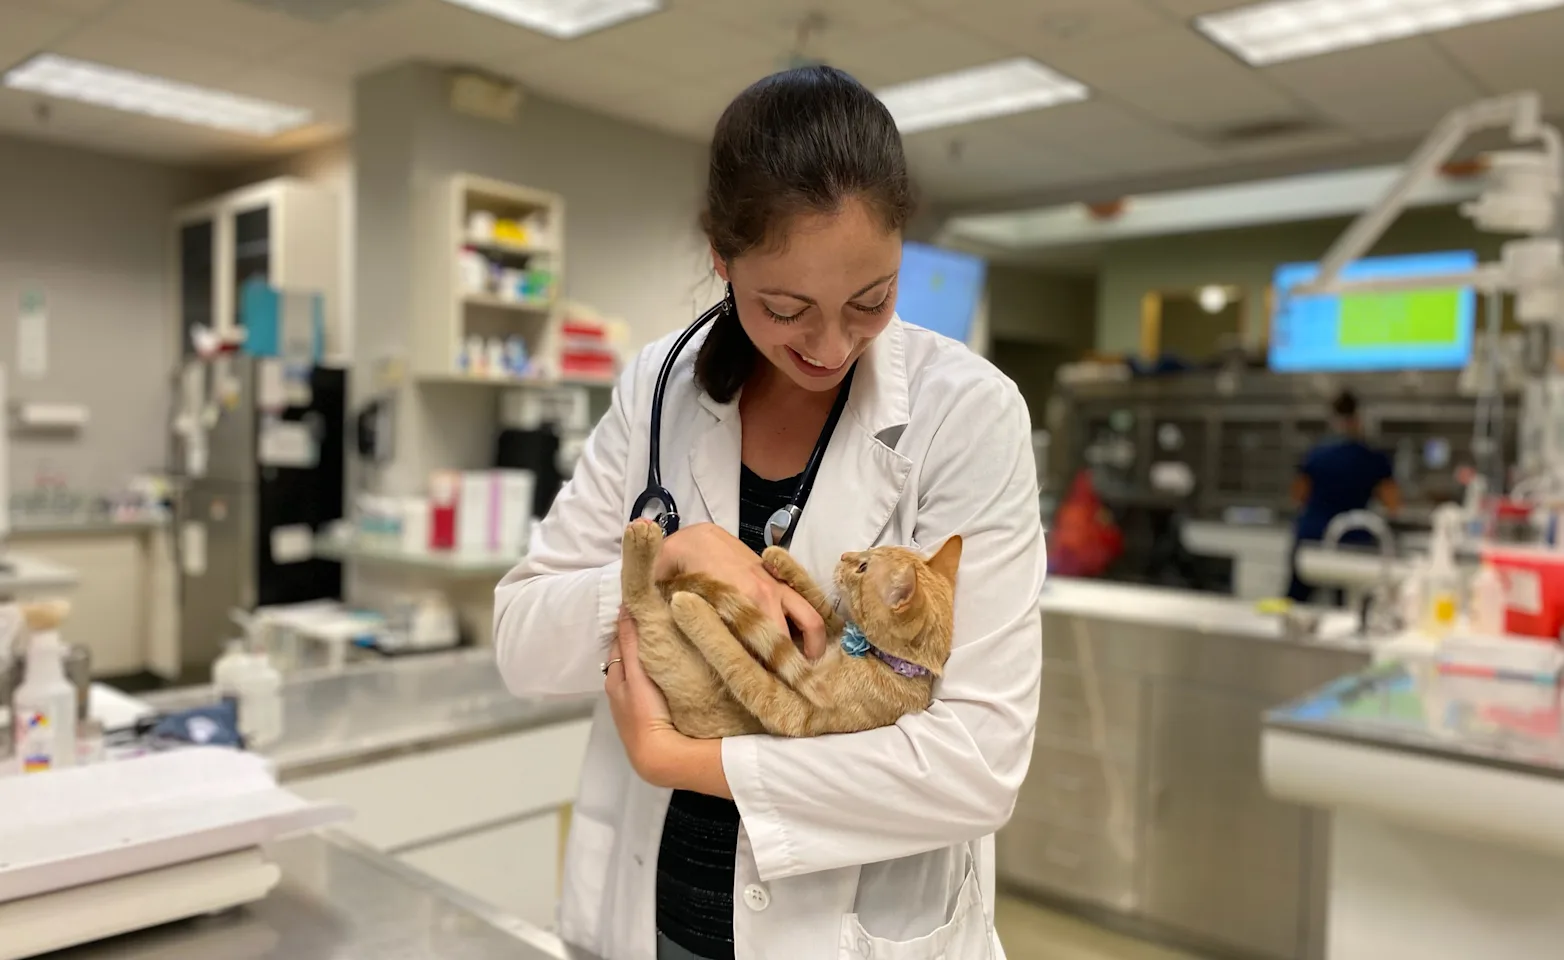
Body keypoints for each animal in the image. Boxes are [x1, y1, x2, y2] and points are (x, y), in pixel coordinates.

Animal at [616, 522, 957, 741]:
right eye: (866, 556)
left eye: (863, 569)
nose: (845, 556)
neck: (878, 657)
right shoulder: (831, 631)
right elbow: (821, 605)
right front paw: (781, 559)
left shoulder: (792, 710)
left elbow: (739, 663)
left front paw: (696, 611)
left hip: (674, 658)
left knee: (642, 599)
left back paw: (646, 546)